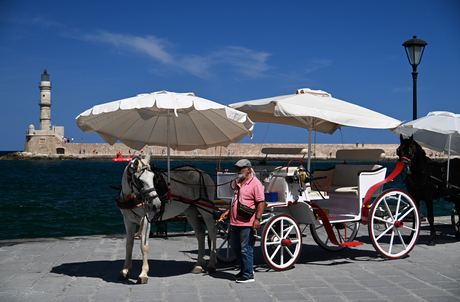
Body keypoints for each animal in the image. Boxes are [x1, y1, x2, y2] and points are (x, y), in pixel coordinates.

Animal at [115, 155, 216, 284]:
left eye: (153, 178)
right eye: (140, 181)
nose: (156, 204)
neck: (131, 197)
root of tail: (202, 173)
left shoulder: (146, 221)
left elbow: (144, 246)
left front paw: (143, 274)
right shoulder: (128, 220)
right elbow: (128, 245)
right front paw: (125, 270)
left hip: (205, 208)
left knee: (212, 232)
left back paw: (211, 264)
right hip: (190, 210)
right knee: (200, 233)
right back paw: (198, 264)